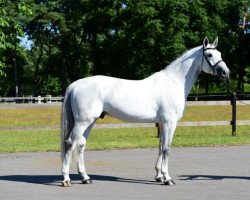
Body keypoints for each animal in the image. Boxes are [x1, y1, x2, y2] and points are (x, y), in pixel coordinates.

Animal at [61, 37, 229, 186]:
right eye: (209, 55)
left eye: (220, 54)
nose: (225, 73)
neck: (174, 82)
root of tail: (76, 84)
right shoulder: (170, 123)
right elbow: (167, 148)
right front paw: (168, 178)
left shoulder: (162, 123)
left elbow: (160, 147)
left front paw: (159, 176)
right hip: (83, 122)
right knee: (70, 143)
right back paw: (66, 179)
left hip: (90, 121)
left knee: (81, 144)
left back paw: (85, 177)